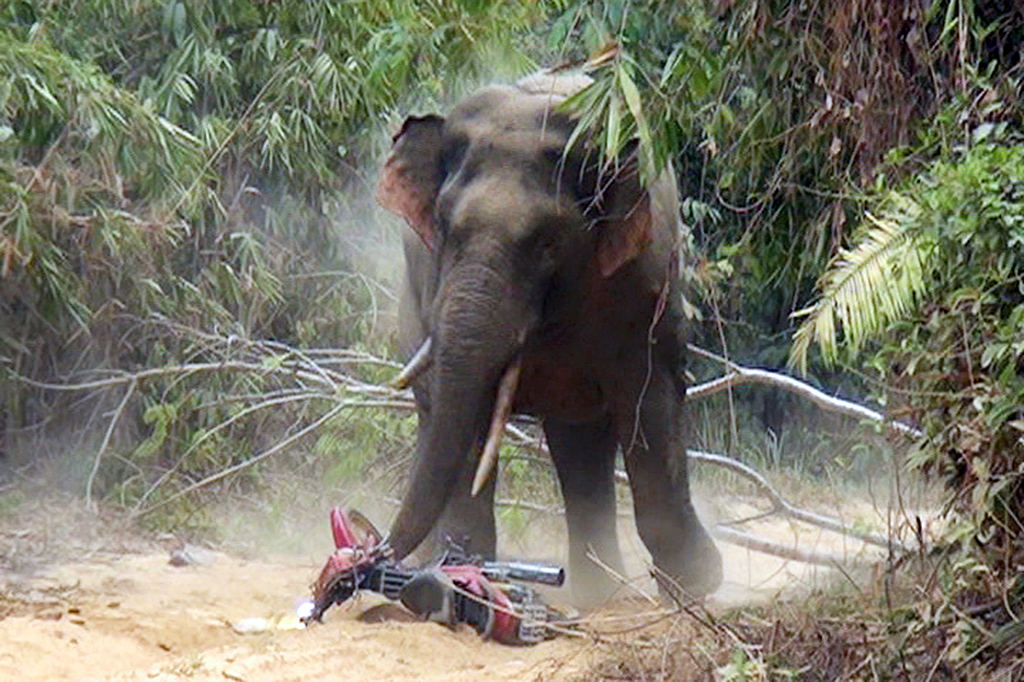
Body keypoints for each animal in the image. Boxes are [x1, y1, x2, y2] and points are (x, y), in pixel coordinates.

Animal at [374, 69, 720, 602]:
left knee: (581, 439)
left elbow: (649, 401)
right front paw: (458, 579)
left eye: (548, 243)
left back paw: (600, 595)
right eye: (445, 226)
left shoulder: (643, 280)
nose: (367, 552)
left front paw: (697, 586)